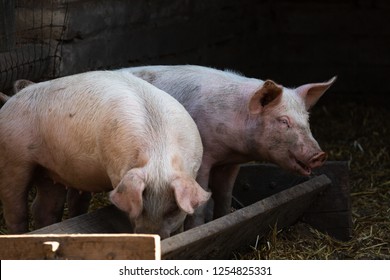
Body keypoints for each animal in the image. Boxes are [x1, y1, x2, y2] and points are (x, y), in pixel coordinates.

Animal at [0, 70, 210, 236]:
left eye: (172, 210)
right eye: (140, 206)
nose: (152, 235)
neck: (159, 156)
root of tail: (10, 101)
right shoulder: (116, 171)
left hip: (50, 171)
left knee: (44, 209)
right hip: (13, 159)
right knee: (16, 210)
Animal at [117, 65, 336, 228]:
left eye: (307, 119)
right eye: (283, 121)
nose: (320, 155)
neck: (233, 149)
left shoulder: (230, 164)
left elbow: (224, 195)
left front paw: (224, 219)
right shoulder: (204, 159)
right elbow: (200, 202)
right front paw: (198, 228)